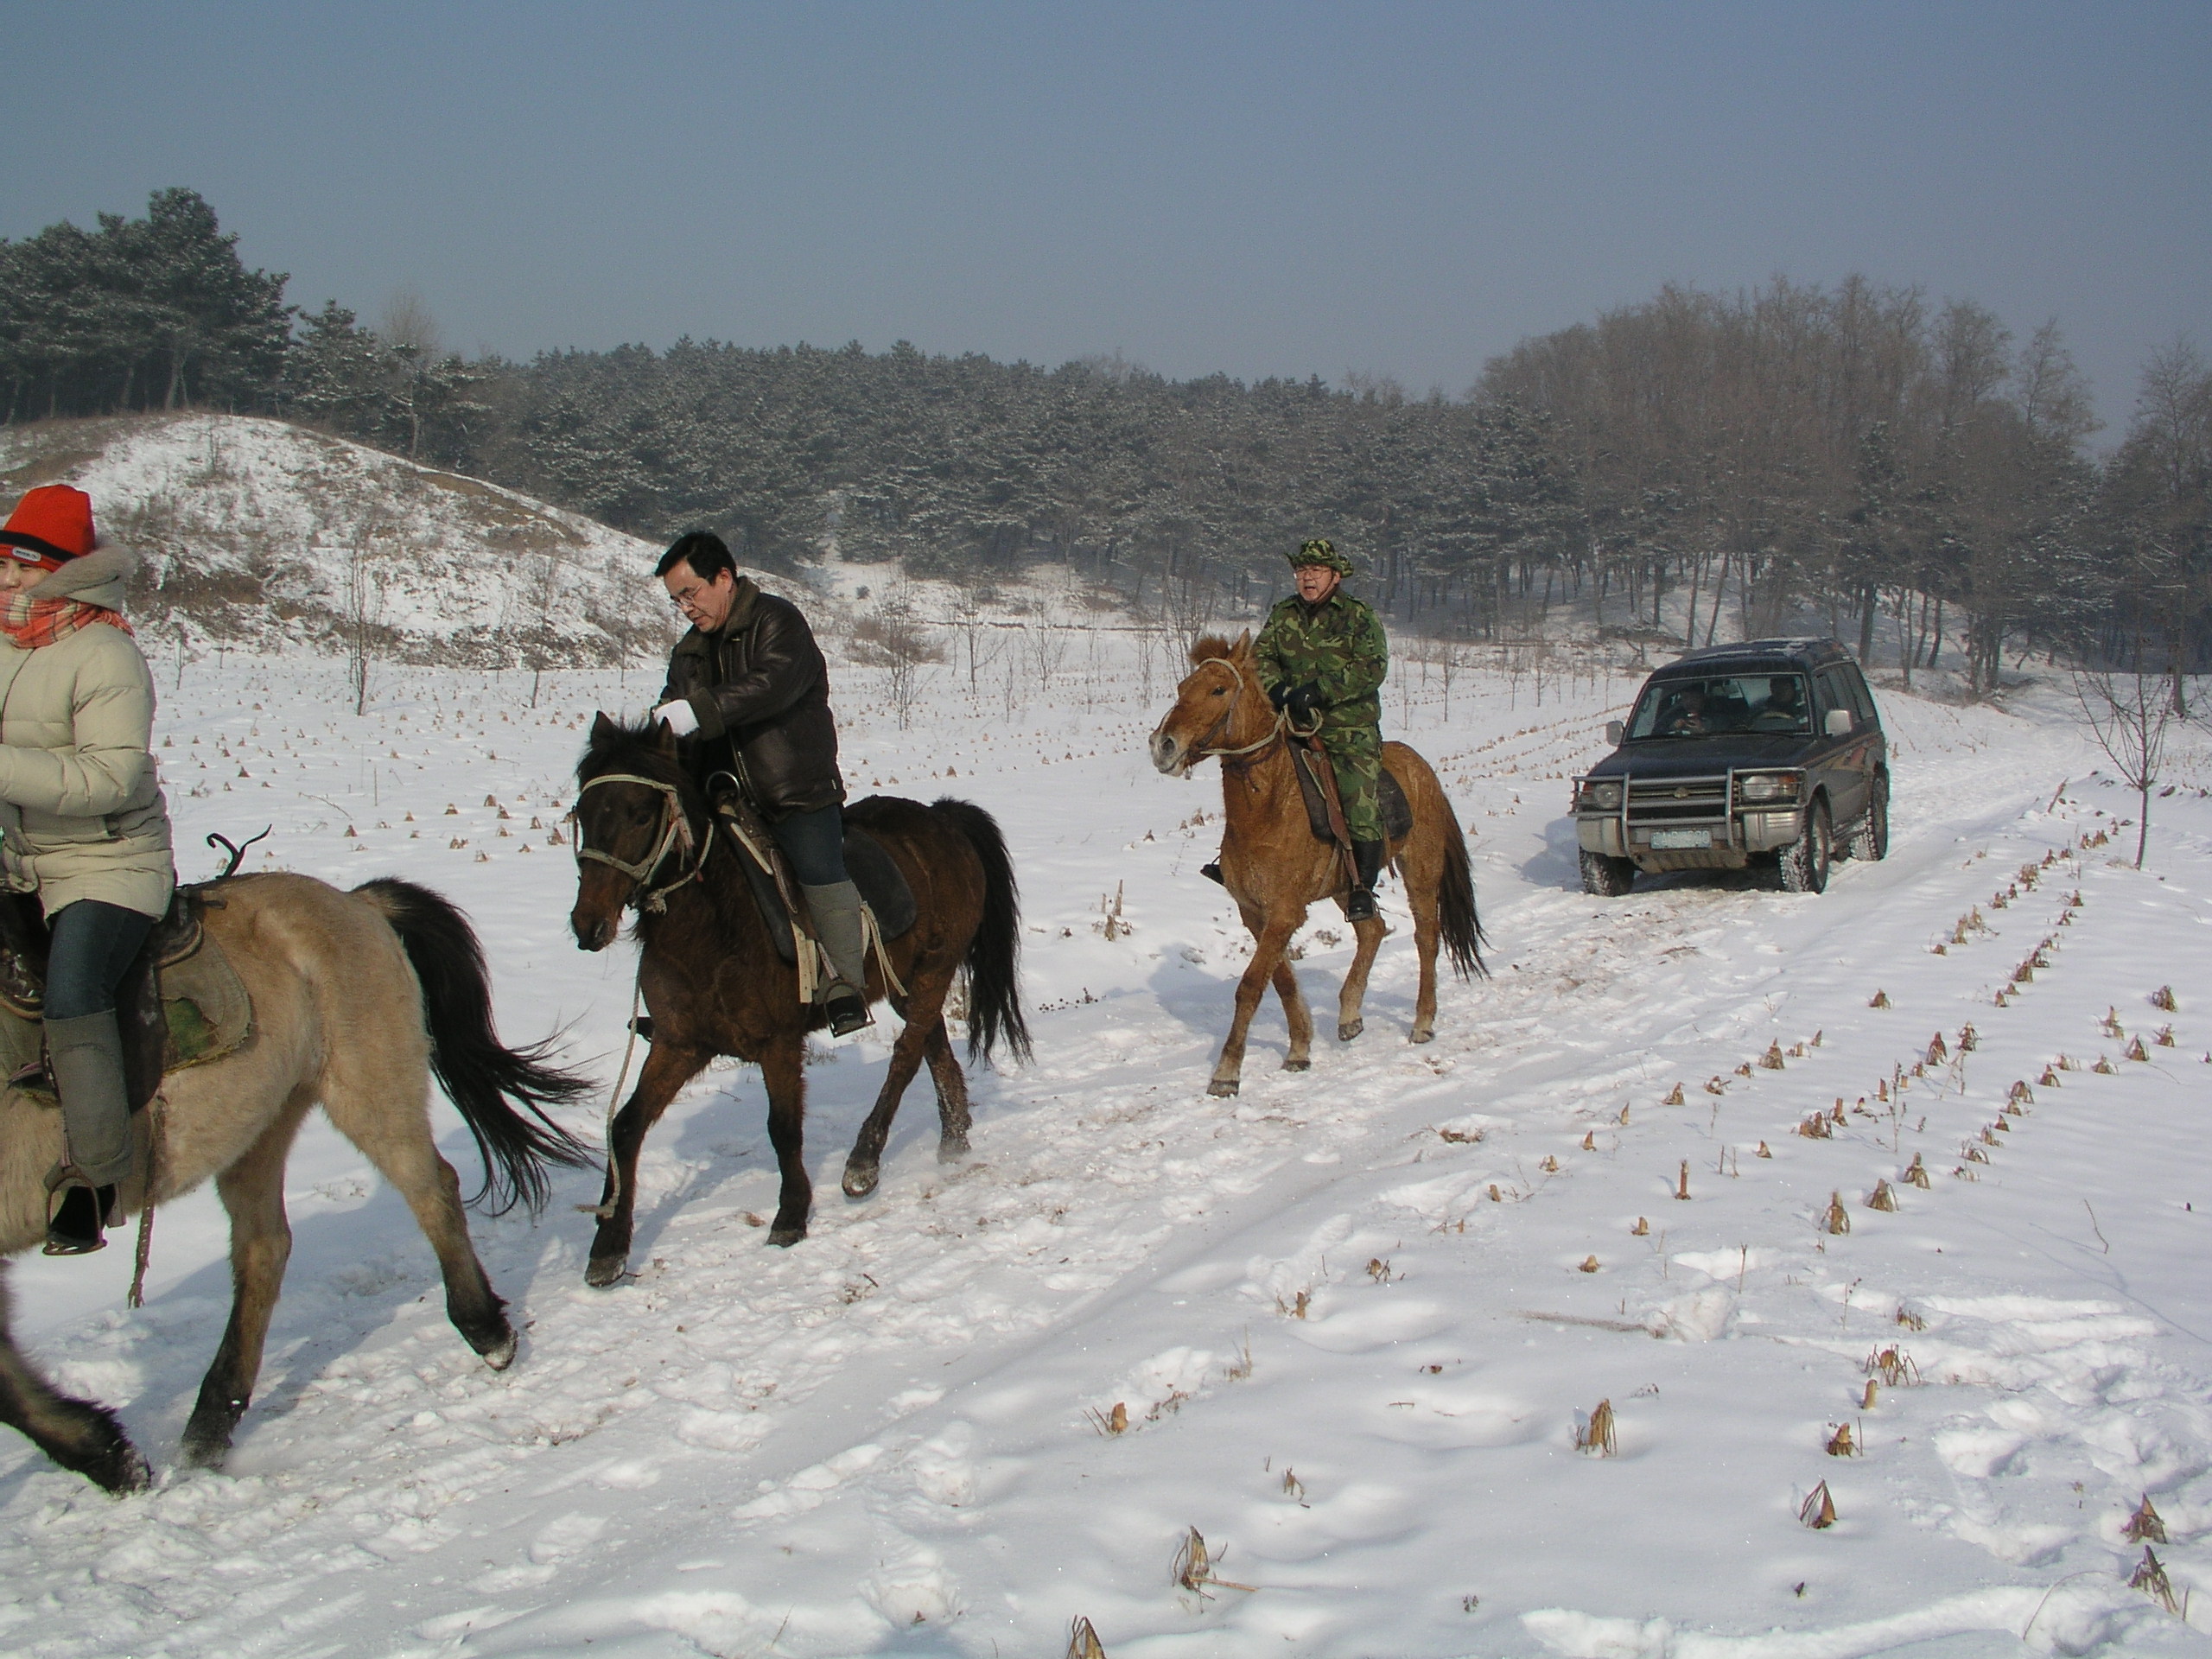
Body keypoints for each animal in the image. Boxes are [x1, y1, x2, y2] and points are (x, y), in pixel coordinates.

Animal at [0, 875, 593, 1503]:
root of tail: (356, 902)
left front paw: (111, 1458)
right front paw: (108, 1455)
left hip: (363, 1088)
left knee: (431, 1189)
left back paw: (487, 1331)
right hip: (257, 1123)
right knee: (264, 1250)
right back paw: (210, 1424)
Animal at [566, 712, 1021, 1274]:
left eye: (640, 814)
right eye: (584, 812)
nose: (588, 924)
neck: (711, 921)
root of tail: (944, 819)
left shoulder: (777, 1043)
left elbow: (783, 1129)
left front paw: (791, 1216)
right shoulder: (680, 1043)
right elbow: (626, 1127)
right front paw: (608, 1246)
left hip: (934, 970)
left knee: (906, 1054)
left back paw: (863, 1164)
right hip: (904, 982)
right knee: (930, 1047)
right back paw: (953, 1140)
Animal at [1141, 628, 1486, 1096]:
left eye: (1218, 690)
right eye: (1181, 689)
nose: (1164, 746)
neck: (1270, 806)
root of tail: (1422, 769)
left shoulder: (1285, 911)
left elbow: (1251, 985)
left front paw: (1227, 1072)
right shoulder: (1256, 913)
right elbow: (1281, 980)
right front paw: (1299, 1049)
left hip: (1421, 871)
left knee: (1426, 939)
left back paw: (1422, 1022)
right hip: (1348, 888)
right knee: (1373, 929)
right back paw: (1349, 1015)